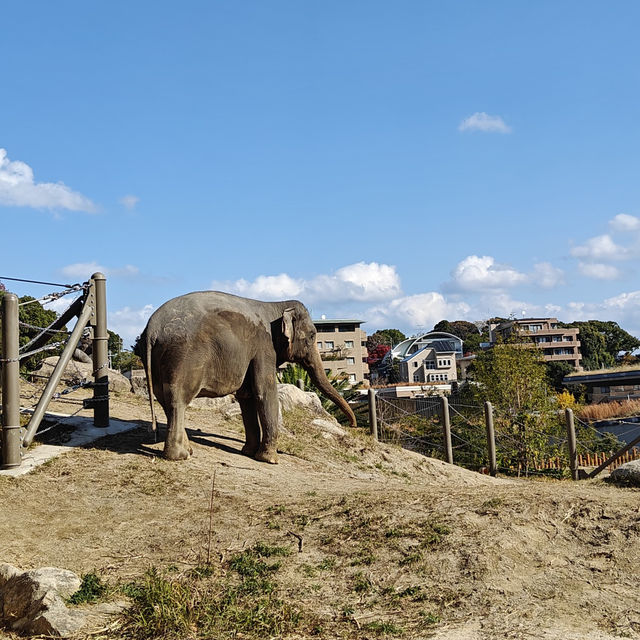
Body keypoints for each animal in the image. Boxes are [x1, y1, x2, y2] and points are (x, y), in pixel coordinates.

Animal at [134, 292, 356, 462]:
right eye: (311, 336)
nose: (353, 425)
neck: (276, 305)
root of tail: (152, 328)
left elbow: (246, 396)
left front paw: (248, 452)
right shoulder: (264, 347)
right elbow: (265, 392)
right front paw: (269, 459)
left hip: (158, 361)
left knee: (165, 400)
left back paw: (188, 450)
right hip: (184, 355)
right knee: (178, 400)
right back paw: (180, 456)